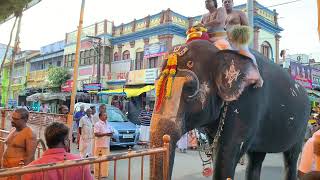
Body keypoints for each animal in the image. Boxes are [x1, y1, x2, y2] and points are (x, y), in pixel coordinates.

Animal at [150, 39, 310, 180]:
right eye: (156, 86)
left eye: (190, 88)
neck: (220, 51)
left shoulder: (247, 105)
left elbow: (227, 154)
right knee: (256, 158)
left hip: (302, 128)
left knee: (292, 157)